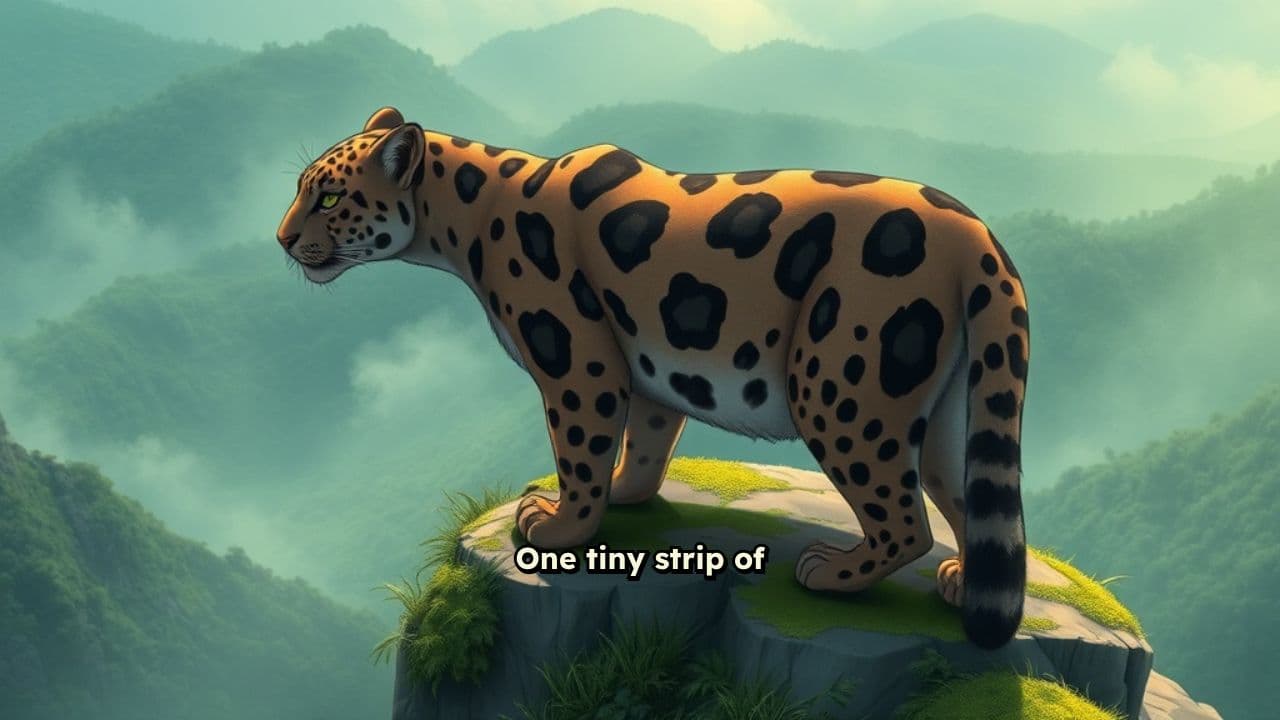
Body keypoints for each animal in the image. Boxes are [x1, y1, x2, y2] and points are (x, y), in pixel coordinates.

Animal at [275, 107, 1031, 649]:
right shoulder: (646, 369)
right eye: (301, 189)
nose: (282, 239)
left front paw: (558, 528)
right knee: (960, 491)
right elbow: (645, 442)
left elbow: (578, 451)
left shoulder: (578, 364)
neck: (468, 221)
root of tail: (976, 233)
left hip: (841, 384)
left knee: (905, 519)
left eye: (330, 196)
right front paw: (625, 494)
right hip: (942, 403)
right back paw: (961, 580)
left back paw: (833, 572)